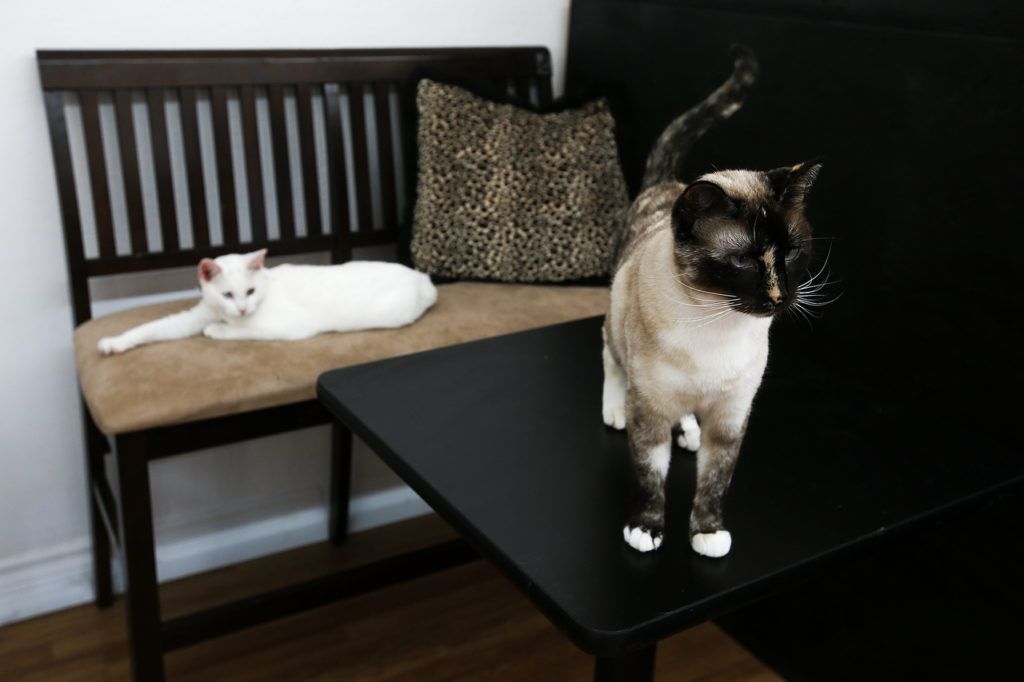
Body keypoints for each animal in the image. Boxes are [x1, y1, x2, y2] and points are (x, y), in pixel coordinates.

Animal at [98, 249, 440, 356]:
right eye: (227, 295)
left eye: (250, 291)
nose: (242, 309)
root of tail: (423, 278)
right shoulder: (201, 312)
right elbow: (151, 328)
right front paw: (114, 343)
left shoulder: (290, 327)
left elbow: (240, 331)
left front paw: (216, 330)